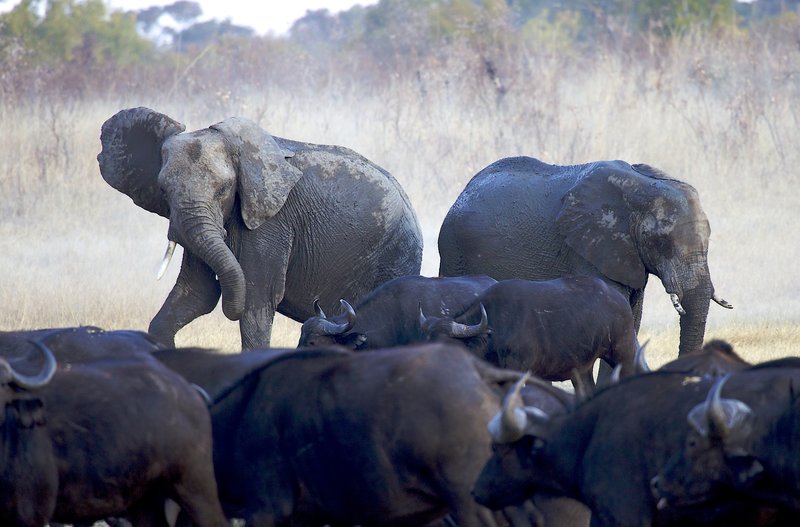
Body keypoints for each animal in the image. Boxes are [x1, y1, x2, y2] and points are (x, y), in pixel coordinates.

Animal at [98, 107, 423, 349]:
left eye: (224, 189)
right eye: (164, 190)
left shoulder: (272, 222)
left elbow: (256, 302)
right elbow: (196, 295)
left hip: (395, 256)